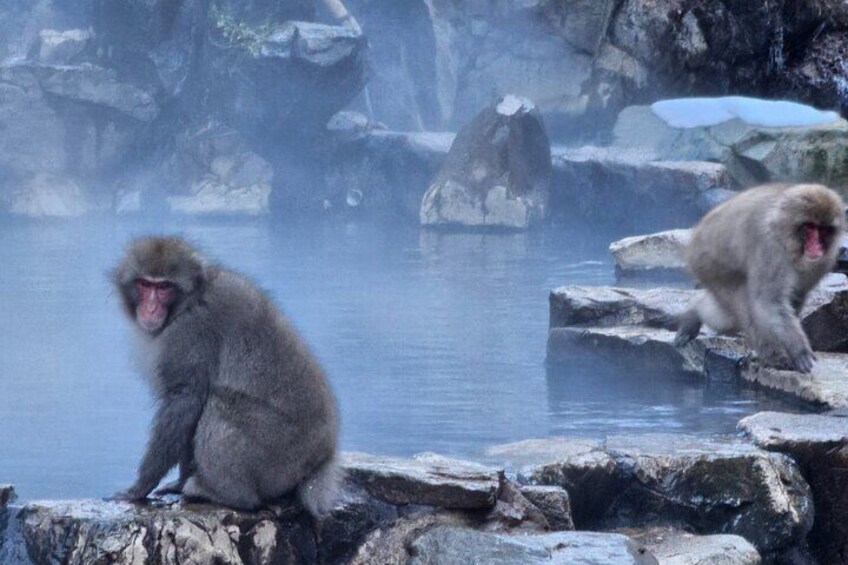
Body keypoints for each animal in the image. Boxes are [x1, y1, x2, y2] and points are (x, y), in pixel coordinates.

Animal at [672, 183, 844, 372]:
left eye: (823, 229)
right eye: (810, 227)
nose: (817, 247)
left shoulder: (824, 260)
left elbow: (796, 296)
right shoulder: (771, 249)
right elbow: (769, 302)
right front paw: (799, 350)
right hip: (709, 265)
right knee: (744, 309)